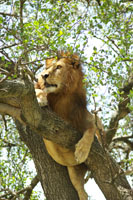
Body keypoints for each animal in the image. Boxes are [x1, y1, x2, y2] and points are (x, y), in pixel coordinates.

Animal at [34, 52, 103, 200]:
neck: (63, 96)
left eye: (58, 67)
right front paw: (41, 99)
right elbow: (37, 90)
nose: (43, 75)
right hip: (73, 172)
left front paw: (82, 151)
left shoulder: (86, 117)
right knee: (82, 191)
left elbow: (91, 129)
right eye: (47, 69)